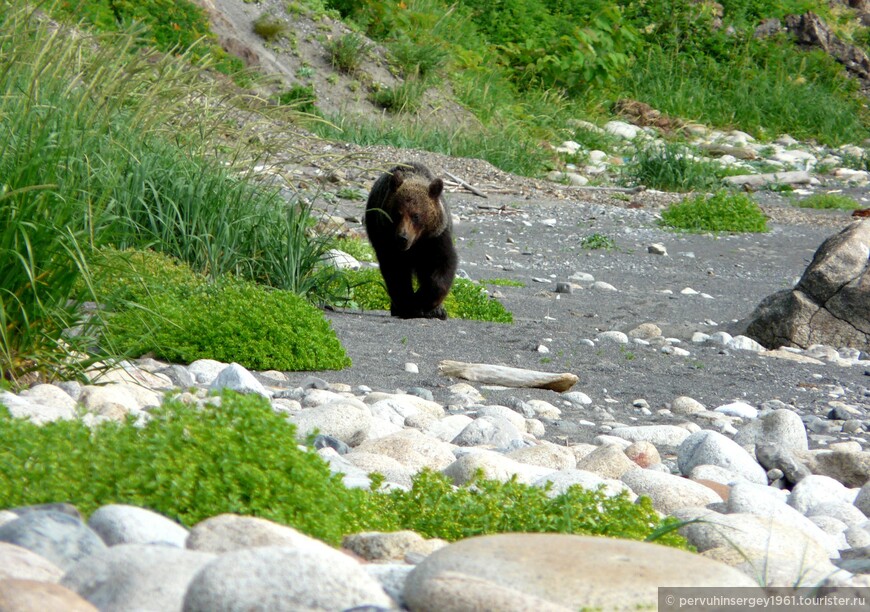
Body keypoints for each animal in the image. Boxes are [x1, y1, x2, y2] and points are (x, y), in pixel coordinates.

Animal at [364, 161, 460, 320]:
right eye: (397, 213)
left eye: (416, 215)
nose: (402, 238)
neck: (416, 243)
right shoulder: (386, 239)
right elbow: (395, 271)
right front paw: (408, 305)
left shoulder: (436, 238)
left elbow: (443, 264)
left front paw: (424, 301)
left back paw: (438, 311)